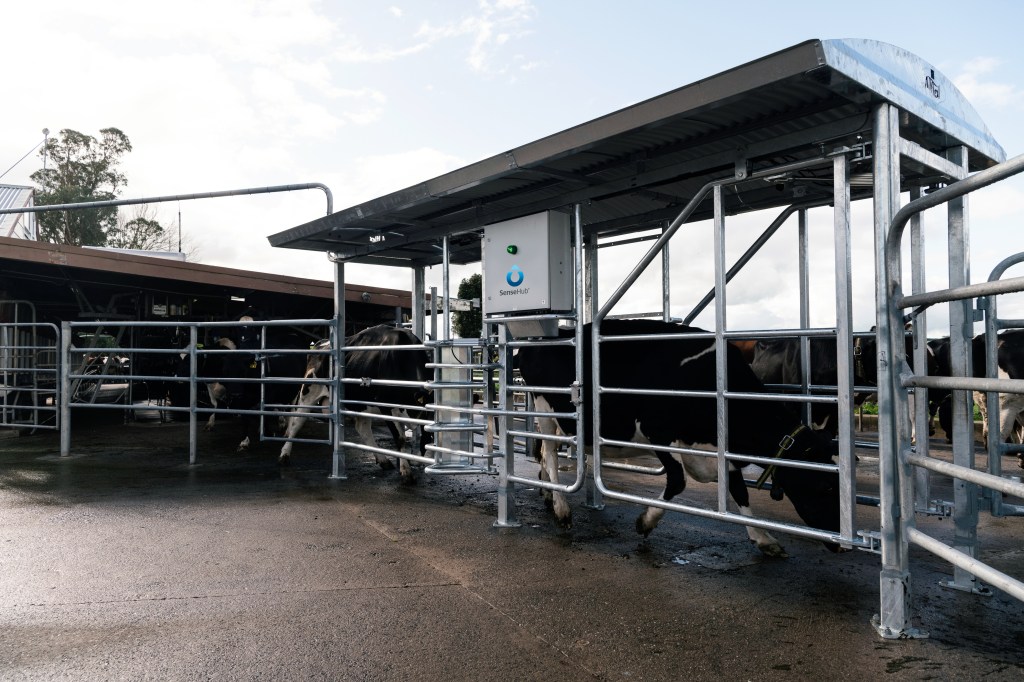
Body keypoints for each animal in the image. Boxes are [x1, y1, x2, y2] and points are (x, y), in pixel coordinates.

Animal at [276, 325, 432, 477]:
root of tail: (320, 343)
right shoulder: (385, 406)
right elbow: (400, 438)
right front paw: (406, 470)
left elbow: (423, 436)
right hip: (308, 392)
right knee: (296, 422)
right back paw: (284, 455)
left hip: (362, 403)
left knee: (363, 429)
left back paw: (383, 460)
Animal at [516, 315, 843, 557]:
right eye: (825, 486)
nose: (840, 544)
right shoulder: (657, 432)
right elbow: (677, 481)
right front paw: (646, 522)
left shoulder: (722, 450)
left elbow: (740, 491)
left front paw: (762, 537)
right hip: (546, 409)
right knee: (549, 453)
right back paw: (561, 509)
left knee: (544, 453)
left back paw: (548, 494)